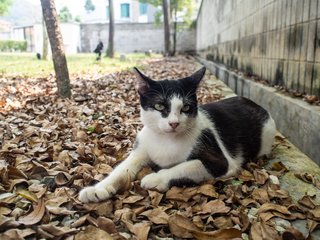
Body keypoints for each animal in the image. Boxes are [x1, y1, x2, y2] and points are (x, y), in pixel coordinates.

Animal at [79, 67, 276, 202]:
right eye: (159, 106)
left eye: (186, 108)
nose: (174, 123)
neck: (166, 140)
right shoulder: (141, 149)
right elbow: (122, 168)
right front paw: (98, 188)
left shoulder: (222, 162)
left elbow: (188, 166)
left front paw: (156, 178)